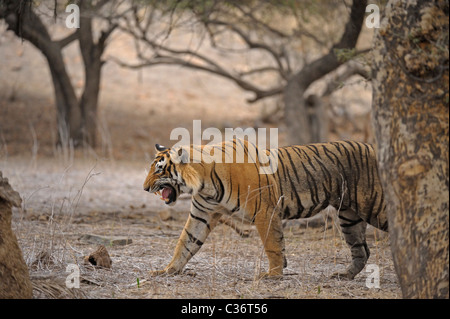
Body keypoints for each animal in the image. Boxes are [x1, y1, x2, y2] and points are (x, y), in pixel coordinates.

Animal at [143, 139, 386, 280]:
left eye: (159, 170)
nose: (144, 188)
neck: (204, 183)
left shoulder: (265, 211)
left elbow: (273, 245)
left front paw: (273, 274)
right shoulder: (201, 214)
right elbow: (185, 243)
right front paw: (168, 270)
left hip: (375, 206)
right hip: (349, 217)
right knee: (361, 250)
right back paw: (344, 275)